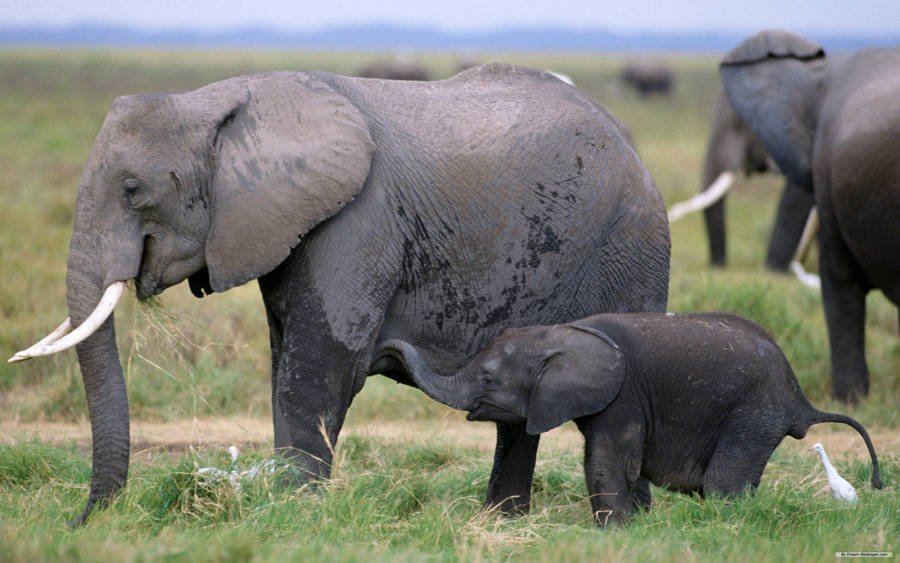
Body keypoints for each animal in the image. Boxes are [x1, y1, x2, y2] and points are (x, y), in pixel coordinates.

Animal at [9, 63, 671, 525]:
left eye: (132, 189)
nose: (78, 522)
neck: (217, 100)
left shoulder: (359, 219)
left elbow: (320, 367)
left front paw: (294, 517)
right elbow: (284, 364)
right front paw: (287, 508)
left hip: (631, 243)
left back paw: (630, 524)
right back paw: (503, 523)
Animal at [373, 312, 883, 526]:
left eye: (487, 378)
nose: (383, 348)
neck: (558, 333)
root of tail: (800, 397)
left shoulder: (622, 396)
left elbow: (607, 462)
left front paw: (613, 532)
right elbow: (620, 465)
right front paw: (635, 525)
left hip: (754, 414)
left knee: (722, 483)